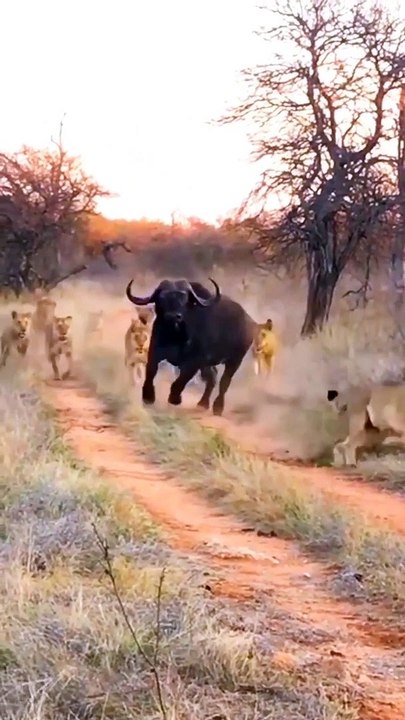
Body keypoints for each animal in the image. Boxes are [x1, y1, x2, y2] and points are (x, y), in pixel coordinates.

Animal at [125, 277, 256, 416]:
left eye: (184, 299)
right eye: (161, 298)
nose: (173, 317)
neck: (175, 336)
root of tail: (250, 322)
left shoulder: (193, 362)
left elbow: (180, 381)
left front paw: (175, 399)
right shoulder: (155, 351)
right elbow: (150, 372)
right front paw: (148, 397)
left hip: (235, 360)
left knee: (224, 382)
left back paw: (218, 407)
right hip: (208, 364)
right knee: (212, 377)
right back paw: (202, 404)